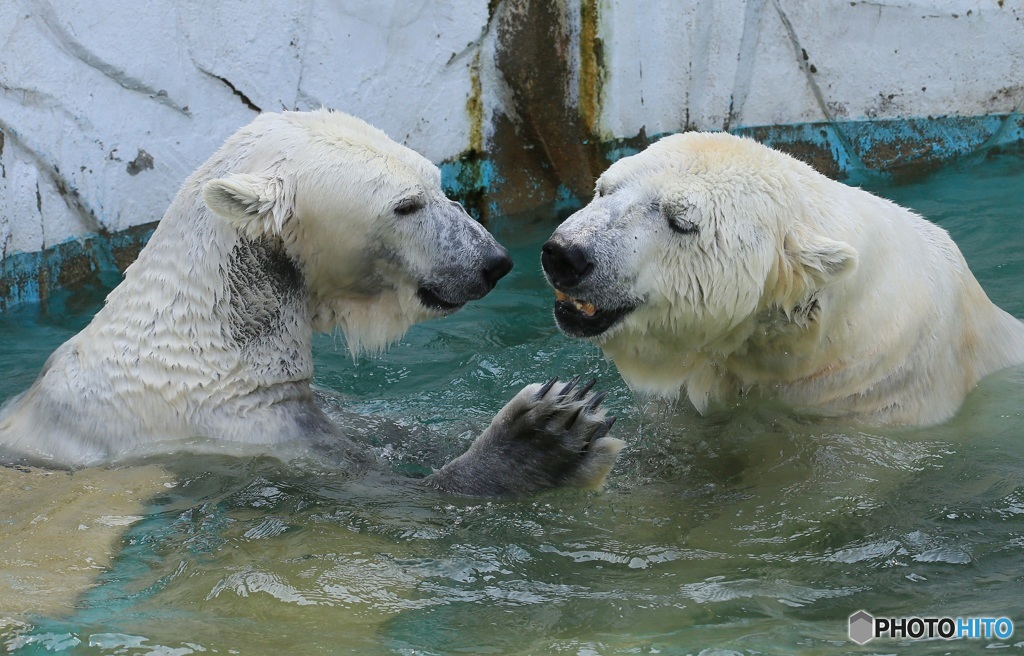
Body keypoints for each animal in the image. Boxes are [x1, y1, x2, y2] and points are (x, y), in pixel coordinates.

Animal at [0, 110, 618, 493]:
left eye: (437, 183)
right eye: (405, 205)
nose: (493, 261)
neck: (204, 349)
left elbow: (390, 429)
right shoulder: (247, 437)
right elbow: (402, 496)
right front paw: (543, 434)